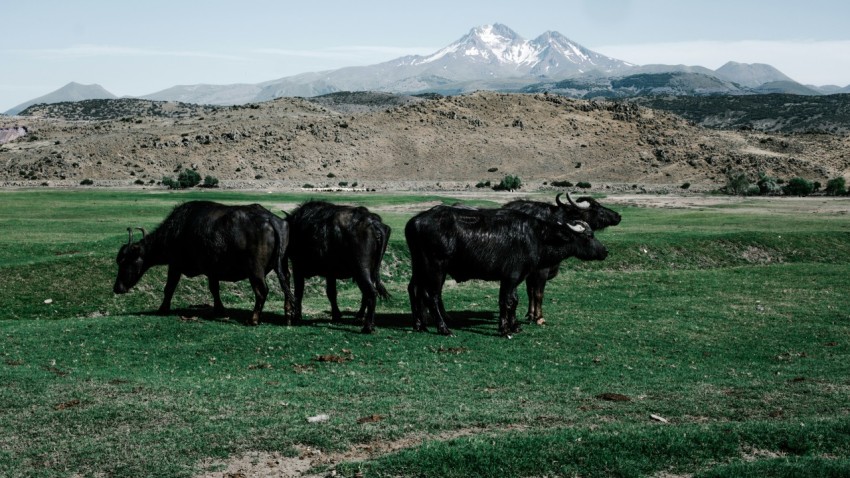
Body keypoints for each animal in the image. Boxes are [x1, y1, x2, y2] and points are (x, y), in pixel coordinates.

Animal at [113, 201, 293, 326]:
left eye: (125, 261)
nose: (117, 288)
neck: (176, 231)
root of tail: (270, 219)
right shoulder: (212, 271)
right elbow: (214, 289)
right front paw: (220, 310)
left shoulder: (175, 265)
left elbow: (169, 288)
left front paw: (162, 309)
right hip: (282, 265)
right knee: (286, 284)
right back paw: (288, 315)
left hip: (255, 270)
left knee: (262, 291)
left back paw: (253, 319)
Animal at [285, 201, 391, 334]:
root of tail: (374, 224)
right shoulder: (330, 273)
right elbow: (331, 293)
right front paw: (336, 315)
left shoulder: (297, 268)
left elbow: (299, 292)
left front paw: (297, 317)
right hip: (370, 271)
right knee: (366, 294)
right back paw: (359, 317)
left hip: (361, 270)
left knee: (370, 292)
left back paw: (367, 326)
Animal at [405, 205, 608, 336]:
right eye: (589, 236)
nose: (605, 251)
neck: (537, 236)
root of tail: (415, 221)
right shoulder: (511, 277)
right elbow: (507, 301)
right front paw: (504, 329)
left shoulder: (515, 278)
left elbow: (514, 300)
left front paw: (514, 326)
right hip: (436, 267)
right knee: (431, 295)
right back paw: (443, 328)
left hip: (419, 266)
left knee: (414, 290)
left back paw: (419, 325)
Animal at [503, 193, 621, 324]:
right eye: (596, 207)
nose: (618, 216)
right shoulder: (541, 270)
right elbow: (538, 293)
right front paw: (539, 317)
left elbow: (530, 292)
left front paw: (531, 314)